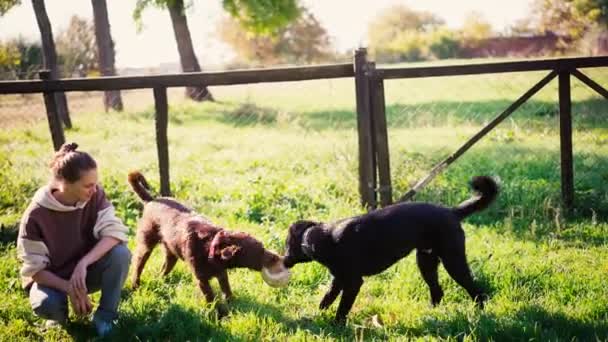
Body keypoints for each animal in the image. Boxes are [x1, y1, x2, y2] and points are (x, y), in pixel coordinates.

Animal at [127, 171, 288, 316]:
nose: (277, 257)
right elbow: (210, 298)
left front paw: (232, 305)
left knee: (163, 270)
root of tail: (152, 200)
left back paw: (160, 282)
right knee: (138, 266)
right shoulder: (202, 280)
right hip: (146, 245)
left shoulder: (222, 274)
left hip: (171, 253)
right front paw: (219, 314)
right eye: (260, 250)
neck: (210, 247)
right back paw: (135, 286)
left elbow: (227, 291)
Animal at [282, 176, 496, 324]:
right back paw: (430, 314)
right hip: (426, 262)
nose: (283, 260)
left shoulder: (353, 282)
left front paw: (336, 326)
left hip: (453, 261)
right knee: (438, 291)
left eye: (286, 245)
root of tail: (452, 212)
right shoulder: (339, 279)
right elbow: (327, 298)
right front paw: (317, 314)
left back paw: (480, 315)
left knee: (477, 291)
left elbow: (342, 308)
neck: (319, 237)